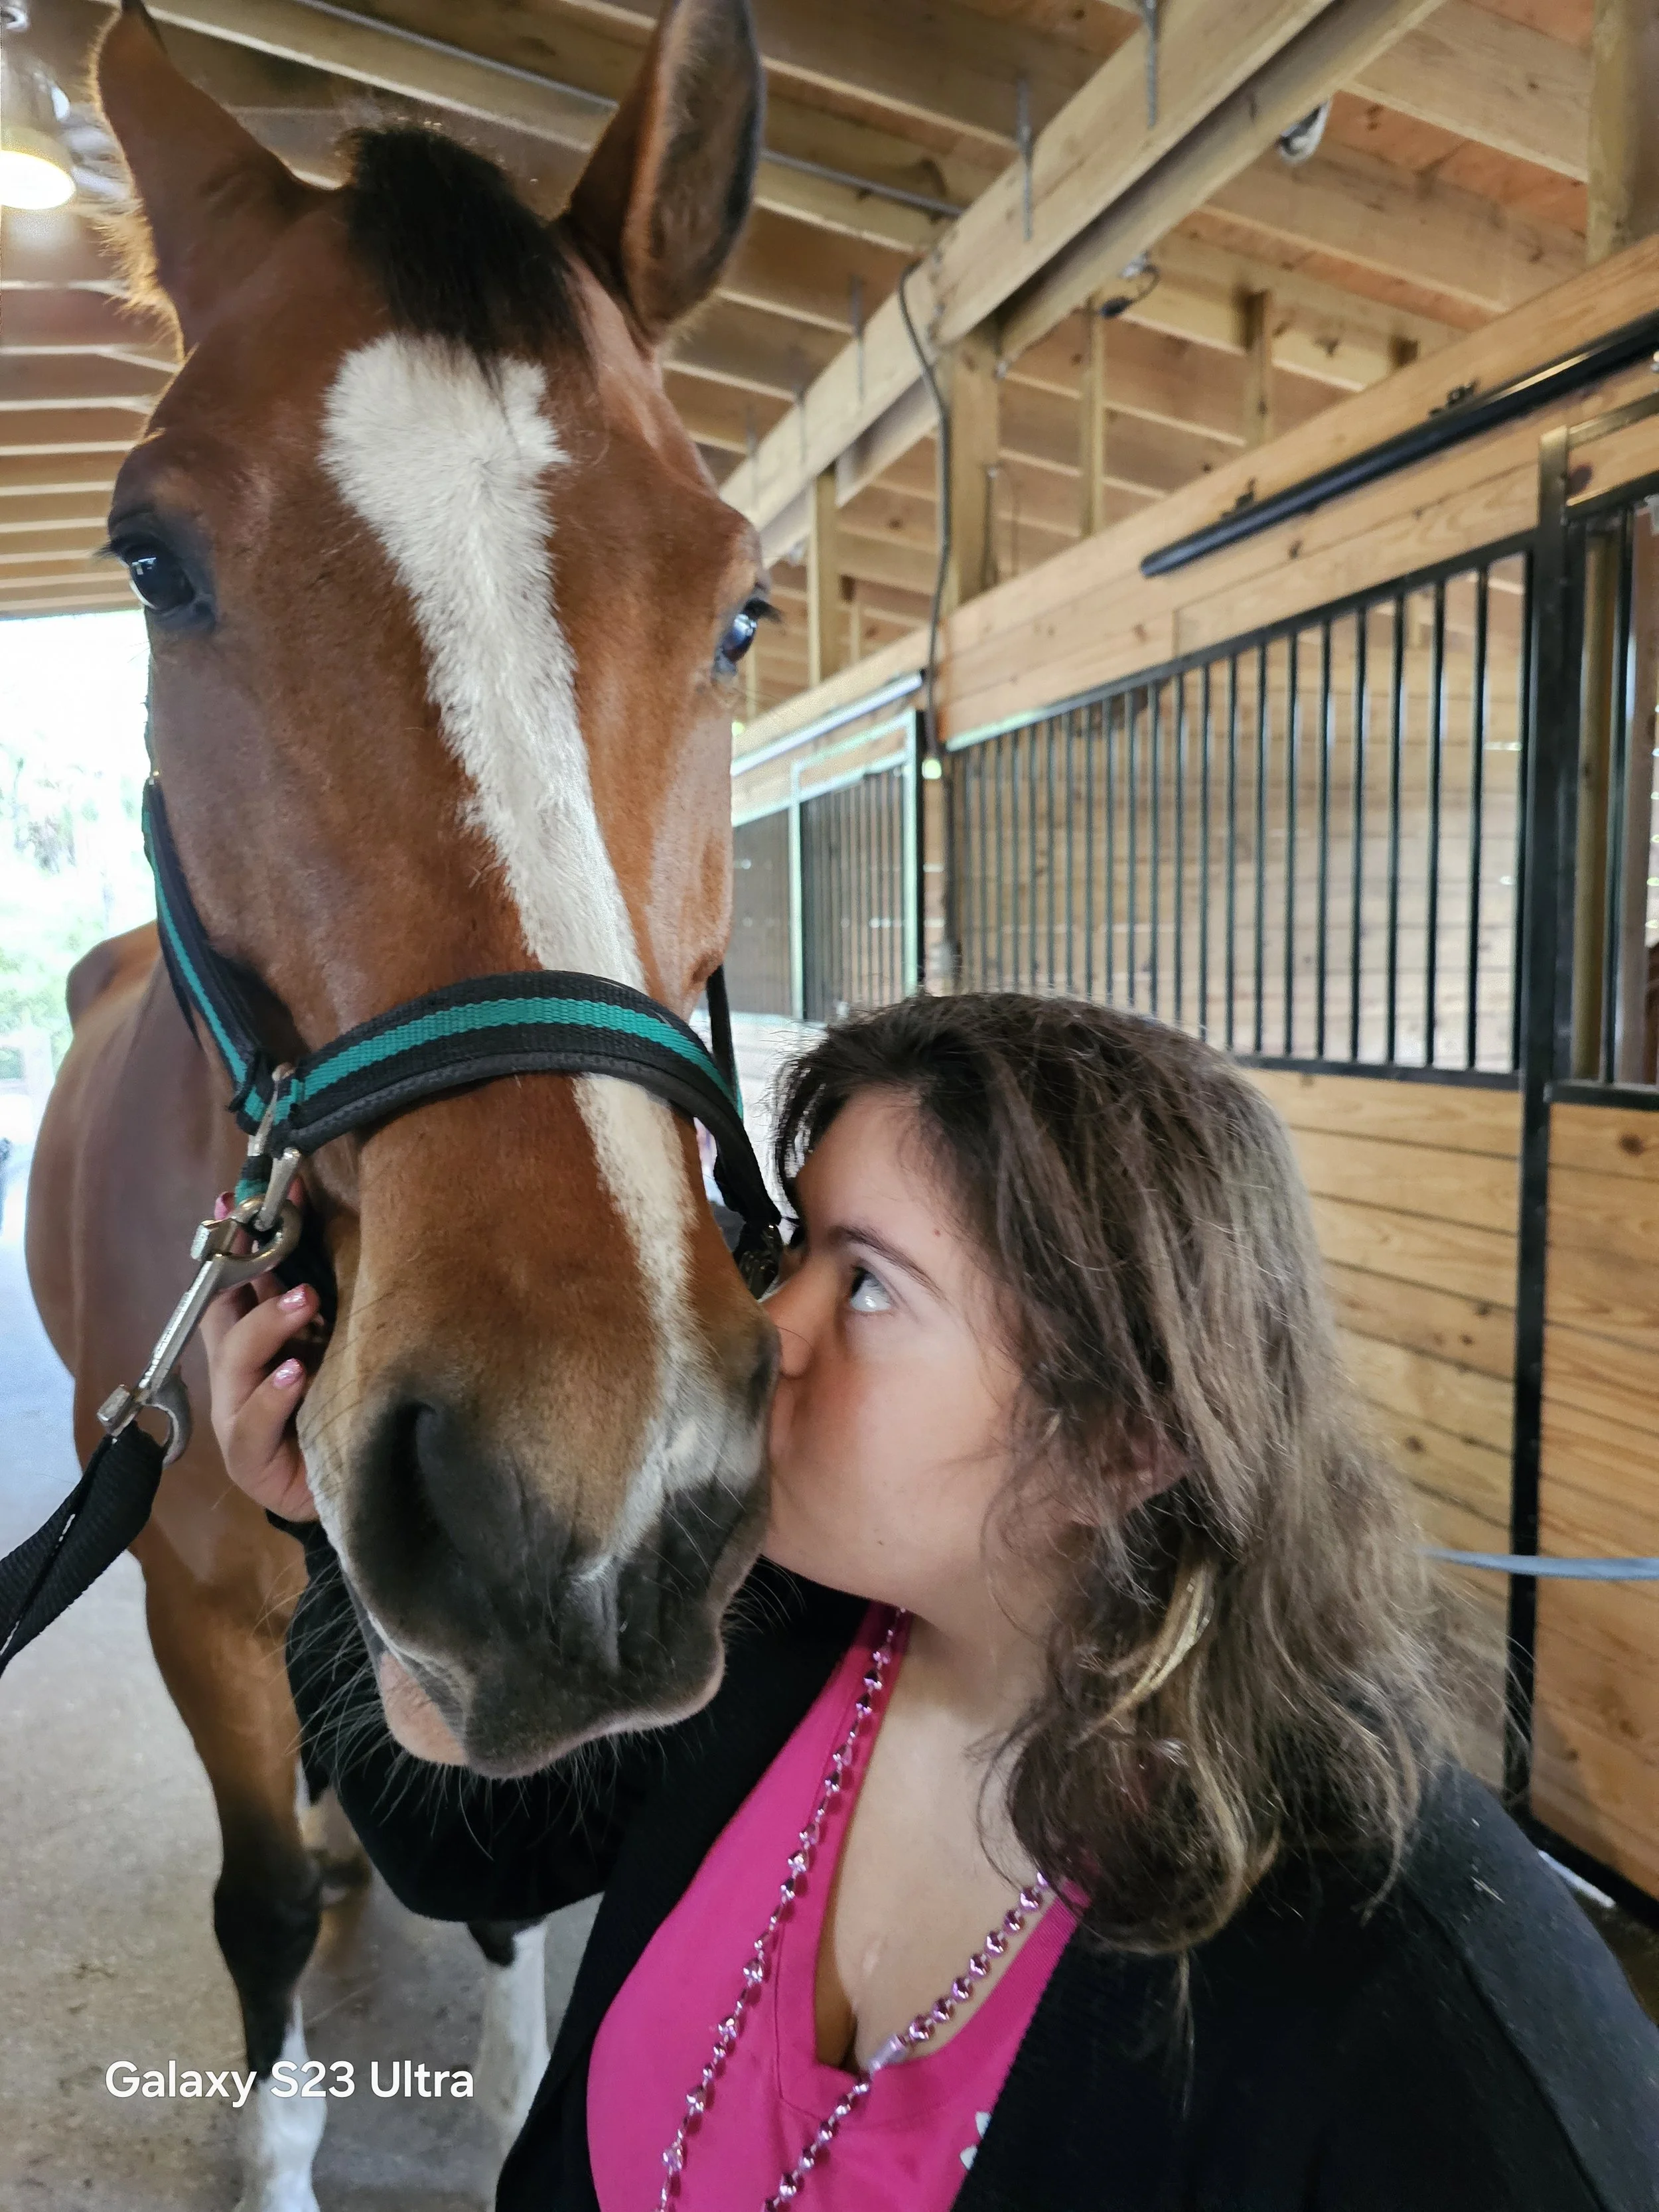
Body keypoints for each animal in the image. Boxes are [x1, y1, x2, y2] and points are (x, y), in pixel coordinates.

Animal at [24, 0, 776, 2203]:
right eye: (151, 559)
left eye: (737, 604)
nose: (584, 1491)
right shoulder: (184, 1598)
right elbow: (260, 1899)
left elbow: (514, 1890)